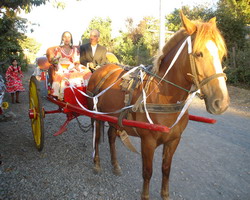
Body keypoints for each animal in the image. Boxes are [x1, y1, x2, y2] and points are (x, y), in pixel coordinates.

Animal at [86, 11, 230, 199]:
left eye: (221, 54)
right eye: (199, 54)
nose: (221, 102)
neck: (164, 98)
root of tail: (100, 69)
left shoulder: (174, 140)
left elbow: (166, 169)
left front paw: (165, 194)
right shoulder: (148, 142)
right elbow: (148, 172)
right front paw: (145, 195)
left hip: (114, 118)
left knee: (111, 136)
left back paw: (115, 165)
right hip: (96, 115)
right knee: (96, 138)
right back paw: (96, 163)